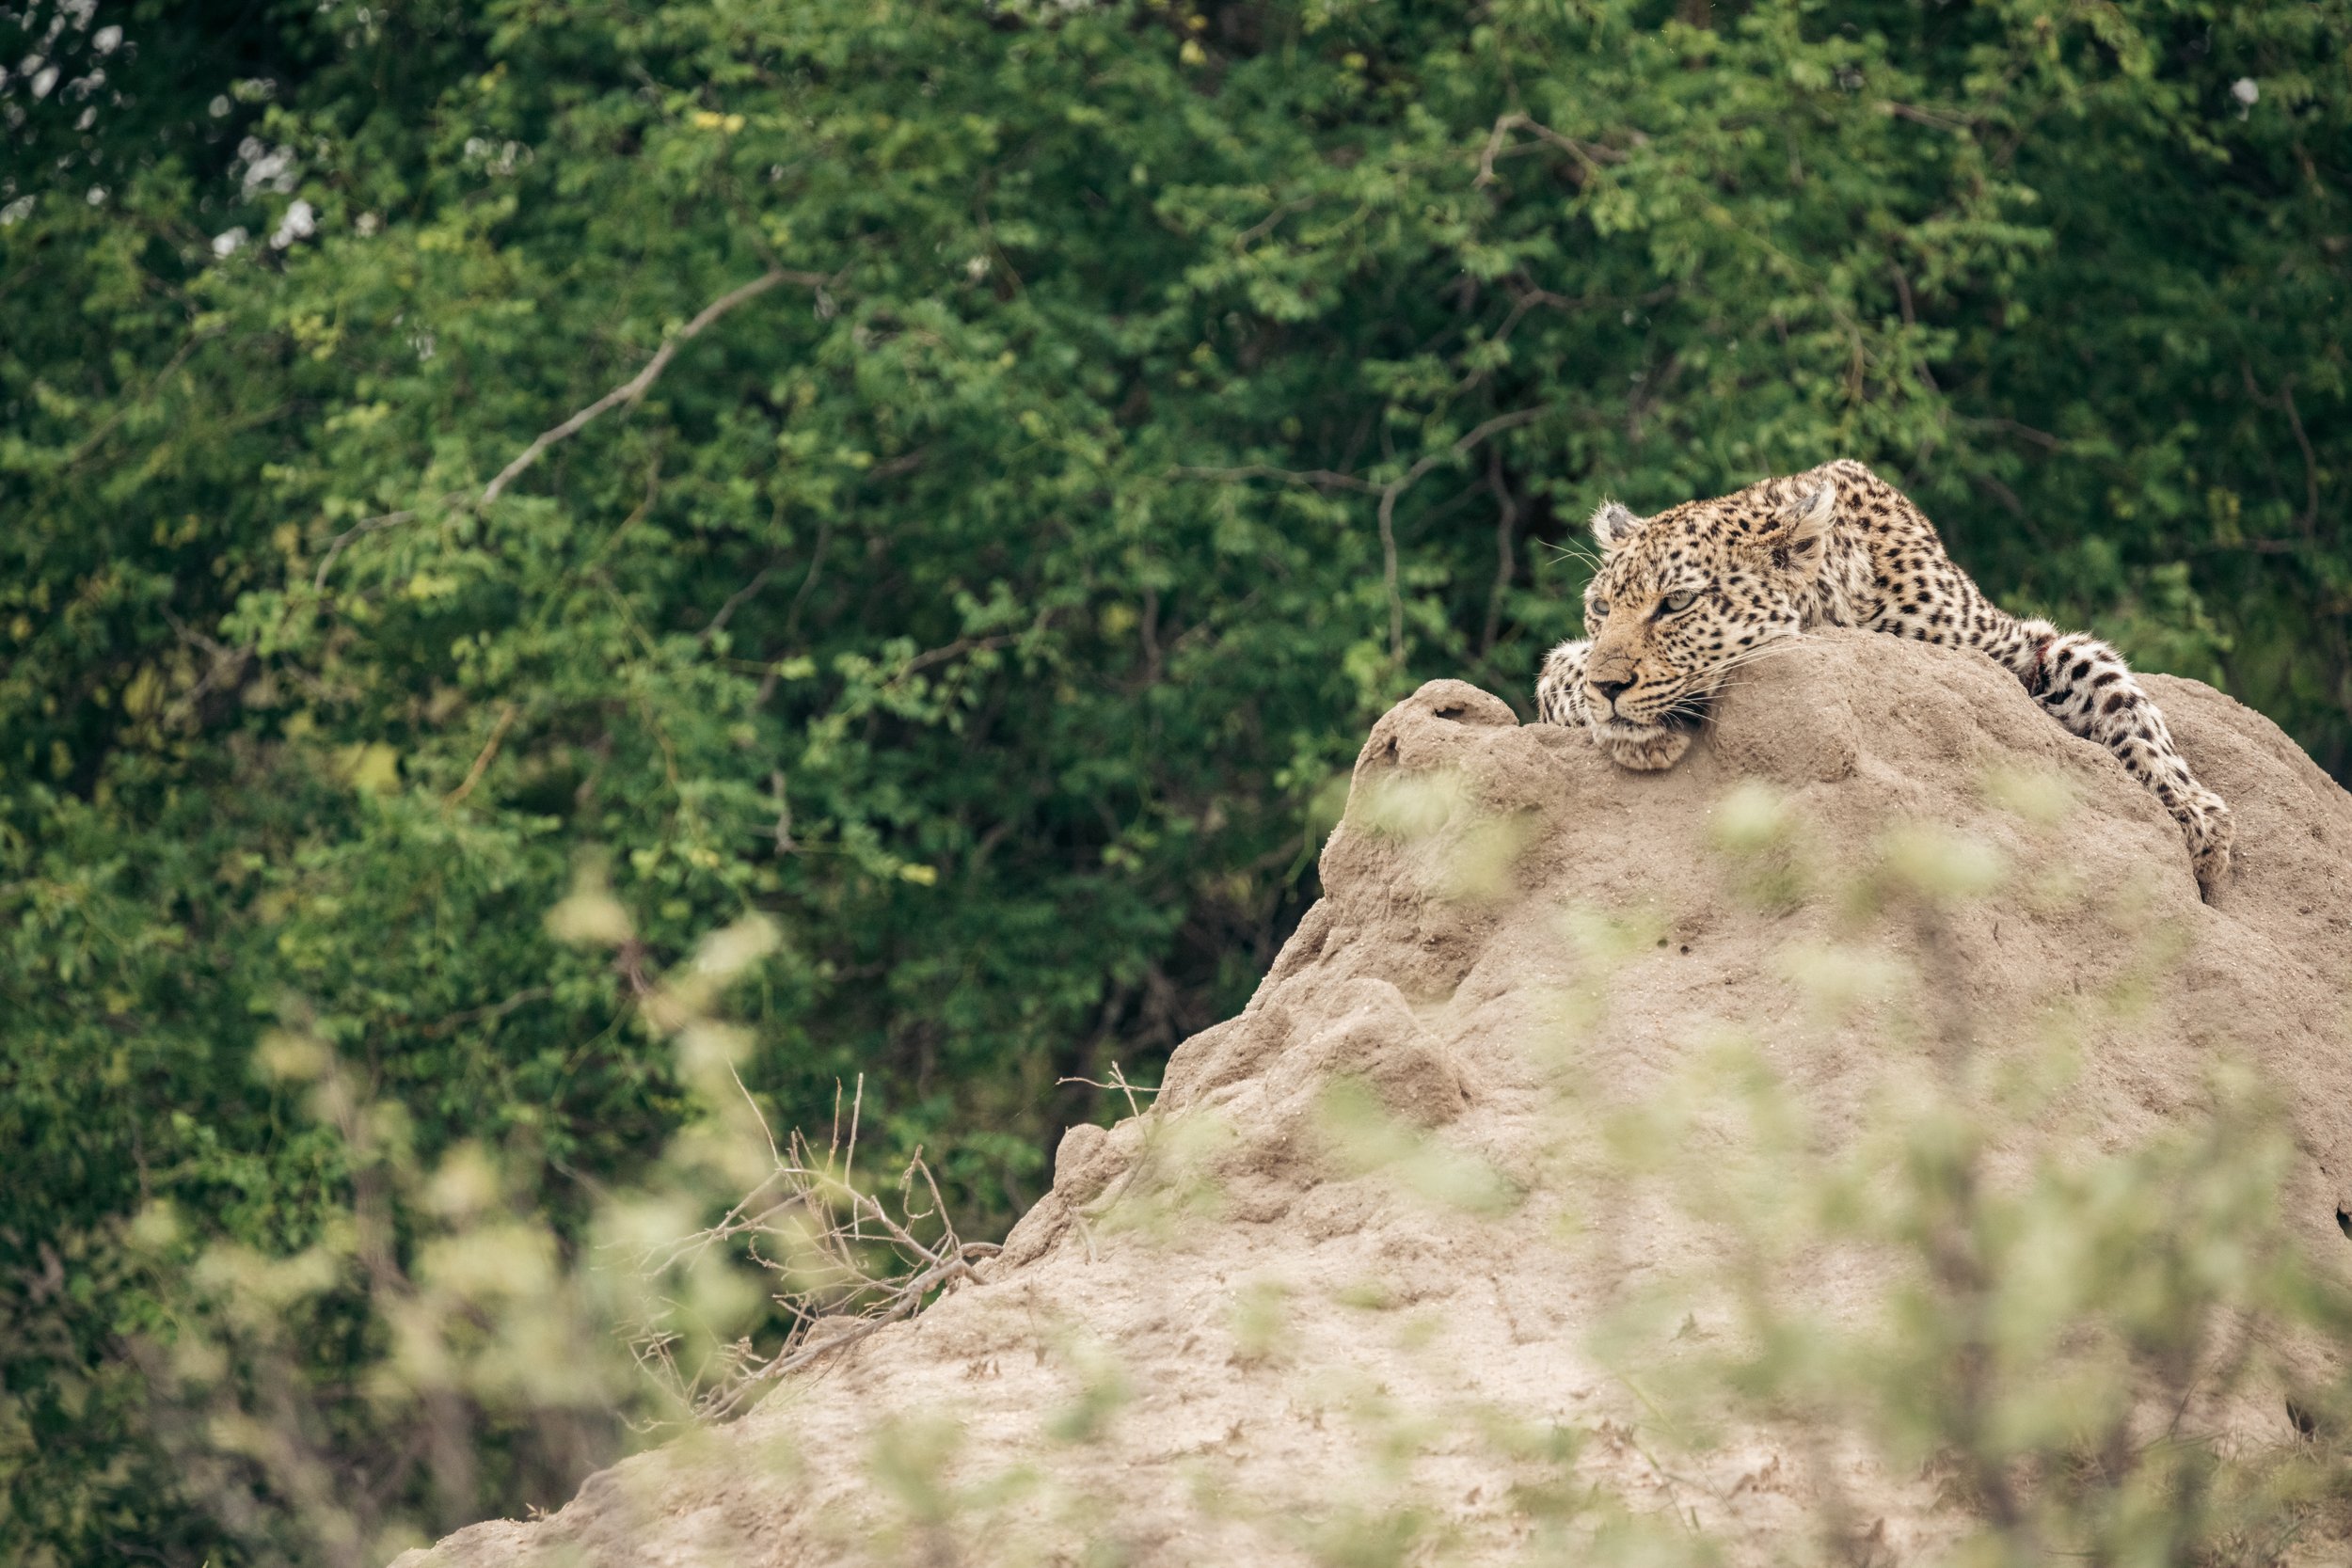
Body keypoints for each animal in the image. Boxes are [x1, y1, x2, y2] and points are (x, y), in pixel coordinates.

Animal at [1534, 455, 2230, 893]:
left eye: (1677, 602)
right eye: (1601, 608)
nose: (1610, 689)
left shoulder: (2014, 647)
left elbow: (2117, 690)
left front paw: (2199, 822)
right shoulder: (1569, 662)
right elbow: (1557, 673)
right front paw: (1623, 722)